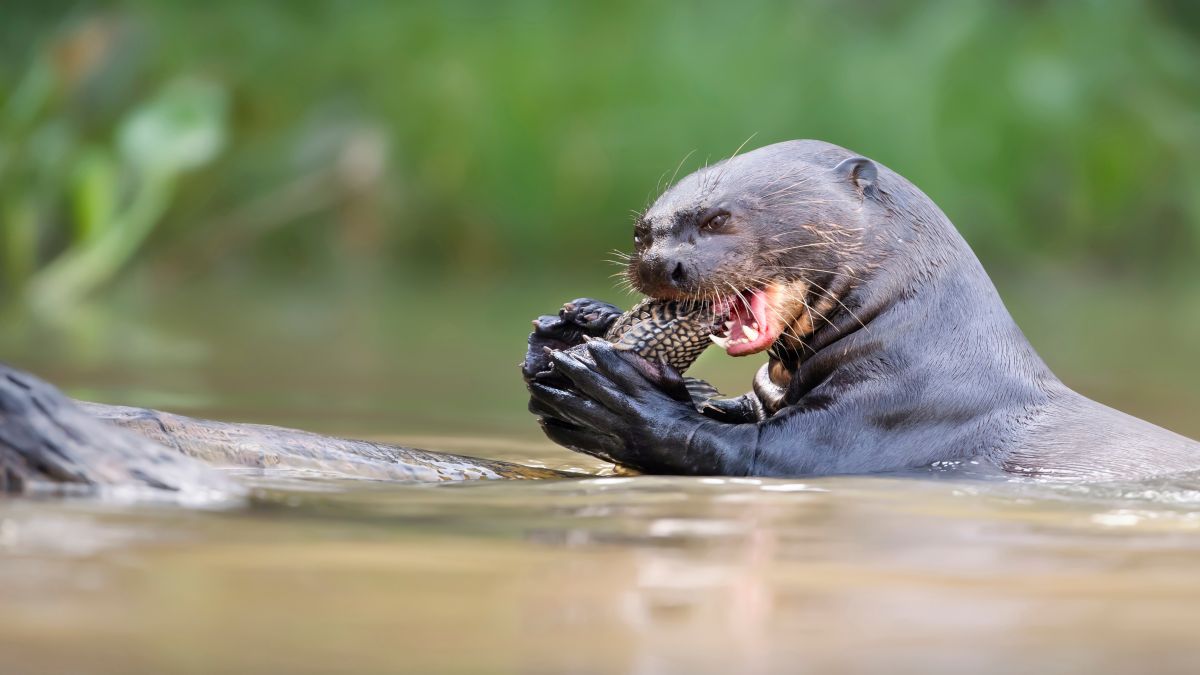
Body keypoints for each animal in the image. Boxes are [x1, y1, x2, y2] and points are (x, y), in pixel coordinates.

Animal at [525, 139, 1200, 480]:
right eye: (642, 232)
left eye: (718, 219)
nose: (660, 263)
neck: (924, 341)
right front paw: (570, 326)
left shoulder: (895, 411)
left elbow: (745, 451)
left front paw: (617, 402)